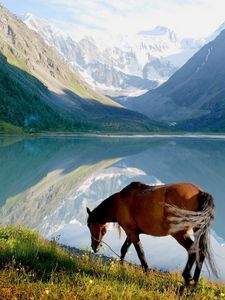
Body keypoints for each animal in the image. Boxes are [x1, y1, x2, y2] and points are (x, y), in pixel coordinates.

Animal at [86, 182, 218, 284]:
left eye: (89, 225)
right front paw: (120, 267)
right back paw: (194, 282)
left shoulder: (131, 233)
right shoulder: (132, 233)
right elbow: (124, 249)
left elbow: (140, 253)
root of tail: (199, 192)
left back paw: (186, 279)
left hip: (179, 233)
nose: (95, 247)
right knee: (201, 252)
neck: (119, 202)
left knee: (193, 250)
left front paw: (146, 274)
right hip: (197, 230)